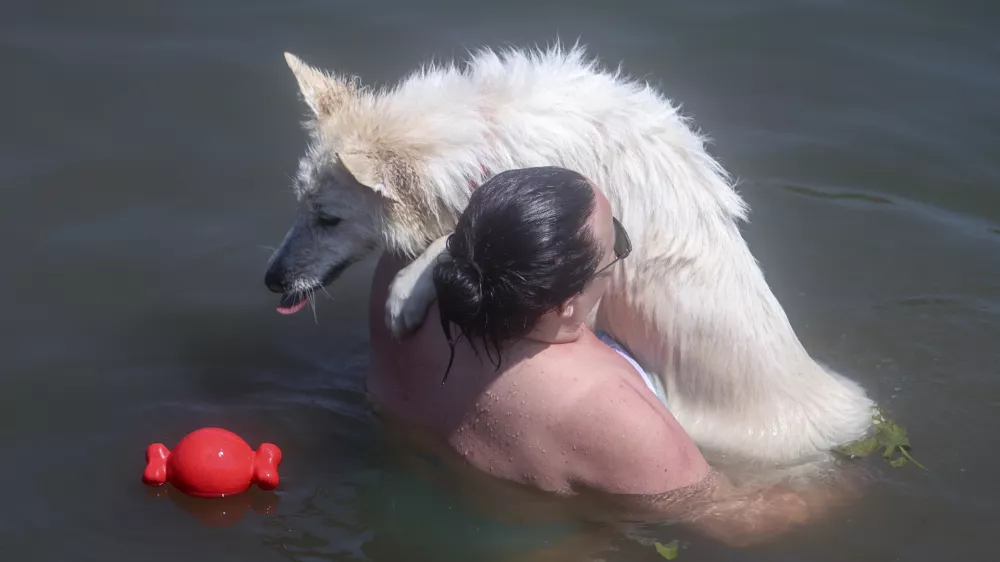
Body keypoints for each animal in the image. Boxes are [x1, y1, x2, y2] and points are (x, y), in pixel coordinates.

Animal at [266, 43, 876, 462]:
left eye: (328, 219)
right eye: (300, 205)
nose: (272, 279)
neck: (491, 135)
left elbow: (453, 237)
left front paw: (405, 291)